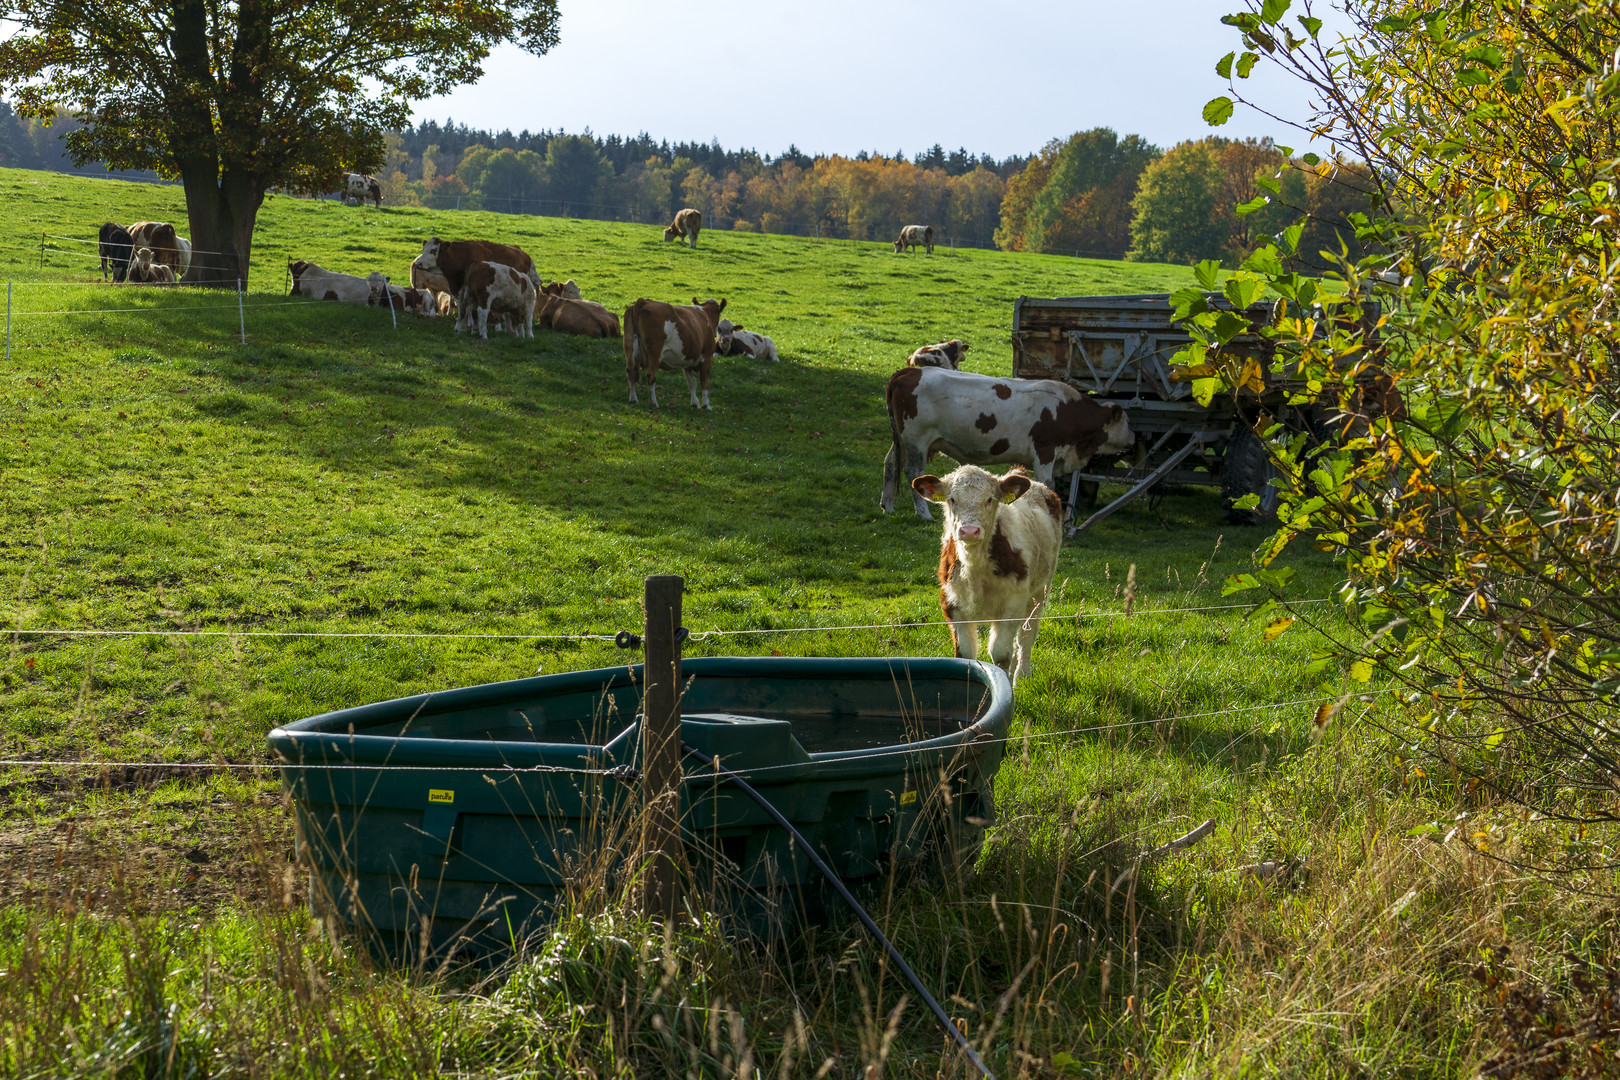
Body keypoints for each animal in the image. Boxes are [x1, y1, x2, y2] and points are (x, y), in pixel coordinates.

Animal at [881, 369, 1134, 521]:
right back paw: (923, 514)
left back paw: (888, 506)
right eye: (1127, 421)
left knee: (891, 463)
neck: (1066, 410)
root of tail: (911, 371)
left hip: (902, 441)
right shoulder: (1045, 451)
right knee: (912, 471)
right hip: (916, 440)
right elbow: (1045, 483)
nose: (1134, 437)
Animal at [913, 466, 1062, 683]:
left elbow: (1001, 654)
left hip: (1039, 593)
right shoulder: (951, 604)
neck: (975, 570)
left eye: (990, 499)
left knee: (1026, 637)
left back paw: (1022, 675)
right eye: (952, 499)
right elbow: (965, 654)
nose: (969, 531)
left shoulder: (1012, 605)